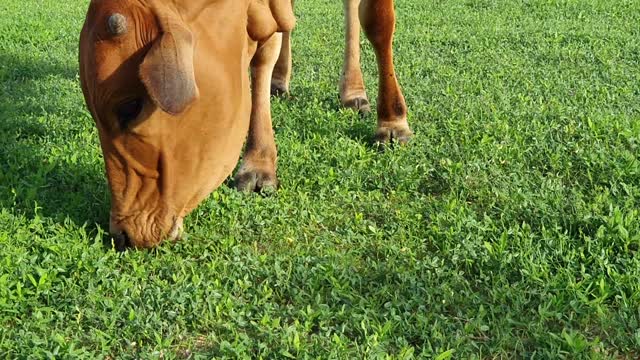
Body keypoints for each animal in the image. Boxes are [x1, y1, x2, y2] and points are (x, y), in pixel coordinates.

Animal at [80, 0, 412, 248]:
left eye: (130, 107)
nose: (121, 234)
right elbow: (263, 55)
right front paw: (259, 164)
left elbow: (378, 21)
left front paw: (393, 122)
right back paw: (280, 80)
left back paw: (354, 93)